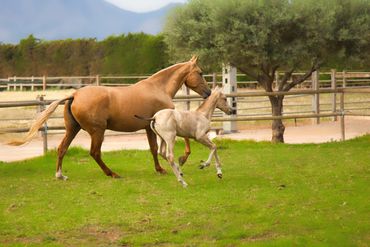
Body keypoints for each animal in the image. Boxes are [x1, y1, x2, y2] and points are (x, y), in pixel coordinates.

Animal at [10, 56, 211, 178]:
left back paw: (60, 175)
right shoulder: (157, 125)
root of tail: (74, 95)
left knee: (62, 149)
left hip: (73, 129)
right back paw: (112, 173)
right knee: (94, 152)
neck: (158, 88)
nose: (208, 92)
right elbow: (165, 146)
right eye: (200, 73)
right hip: (97, 132)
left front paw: (164, 167)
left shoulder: (151, 127)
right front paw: (177, 161)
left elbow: (155, 149)